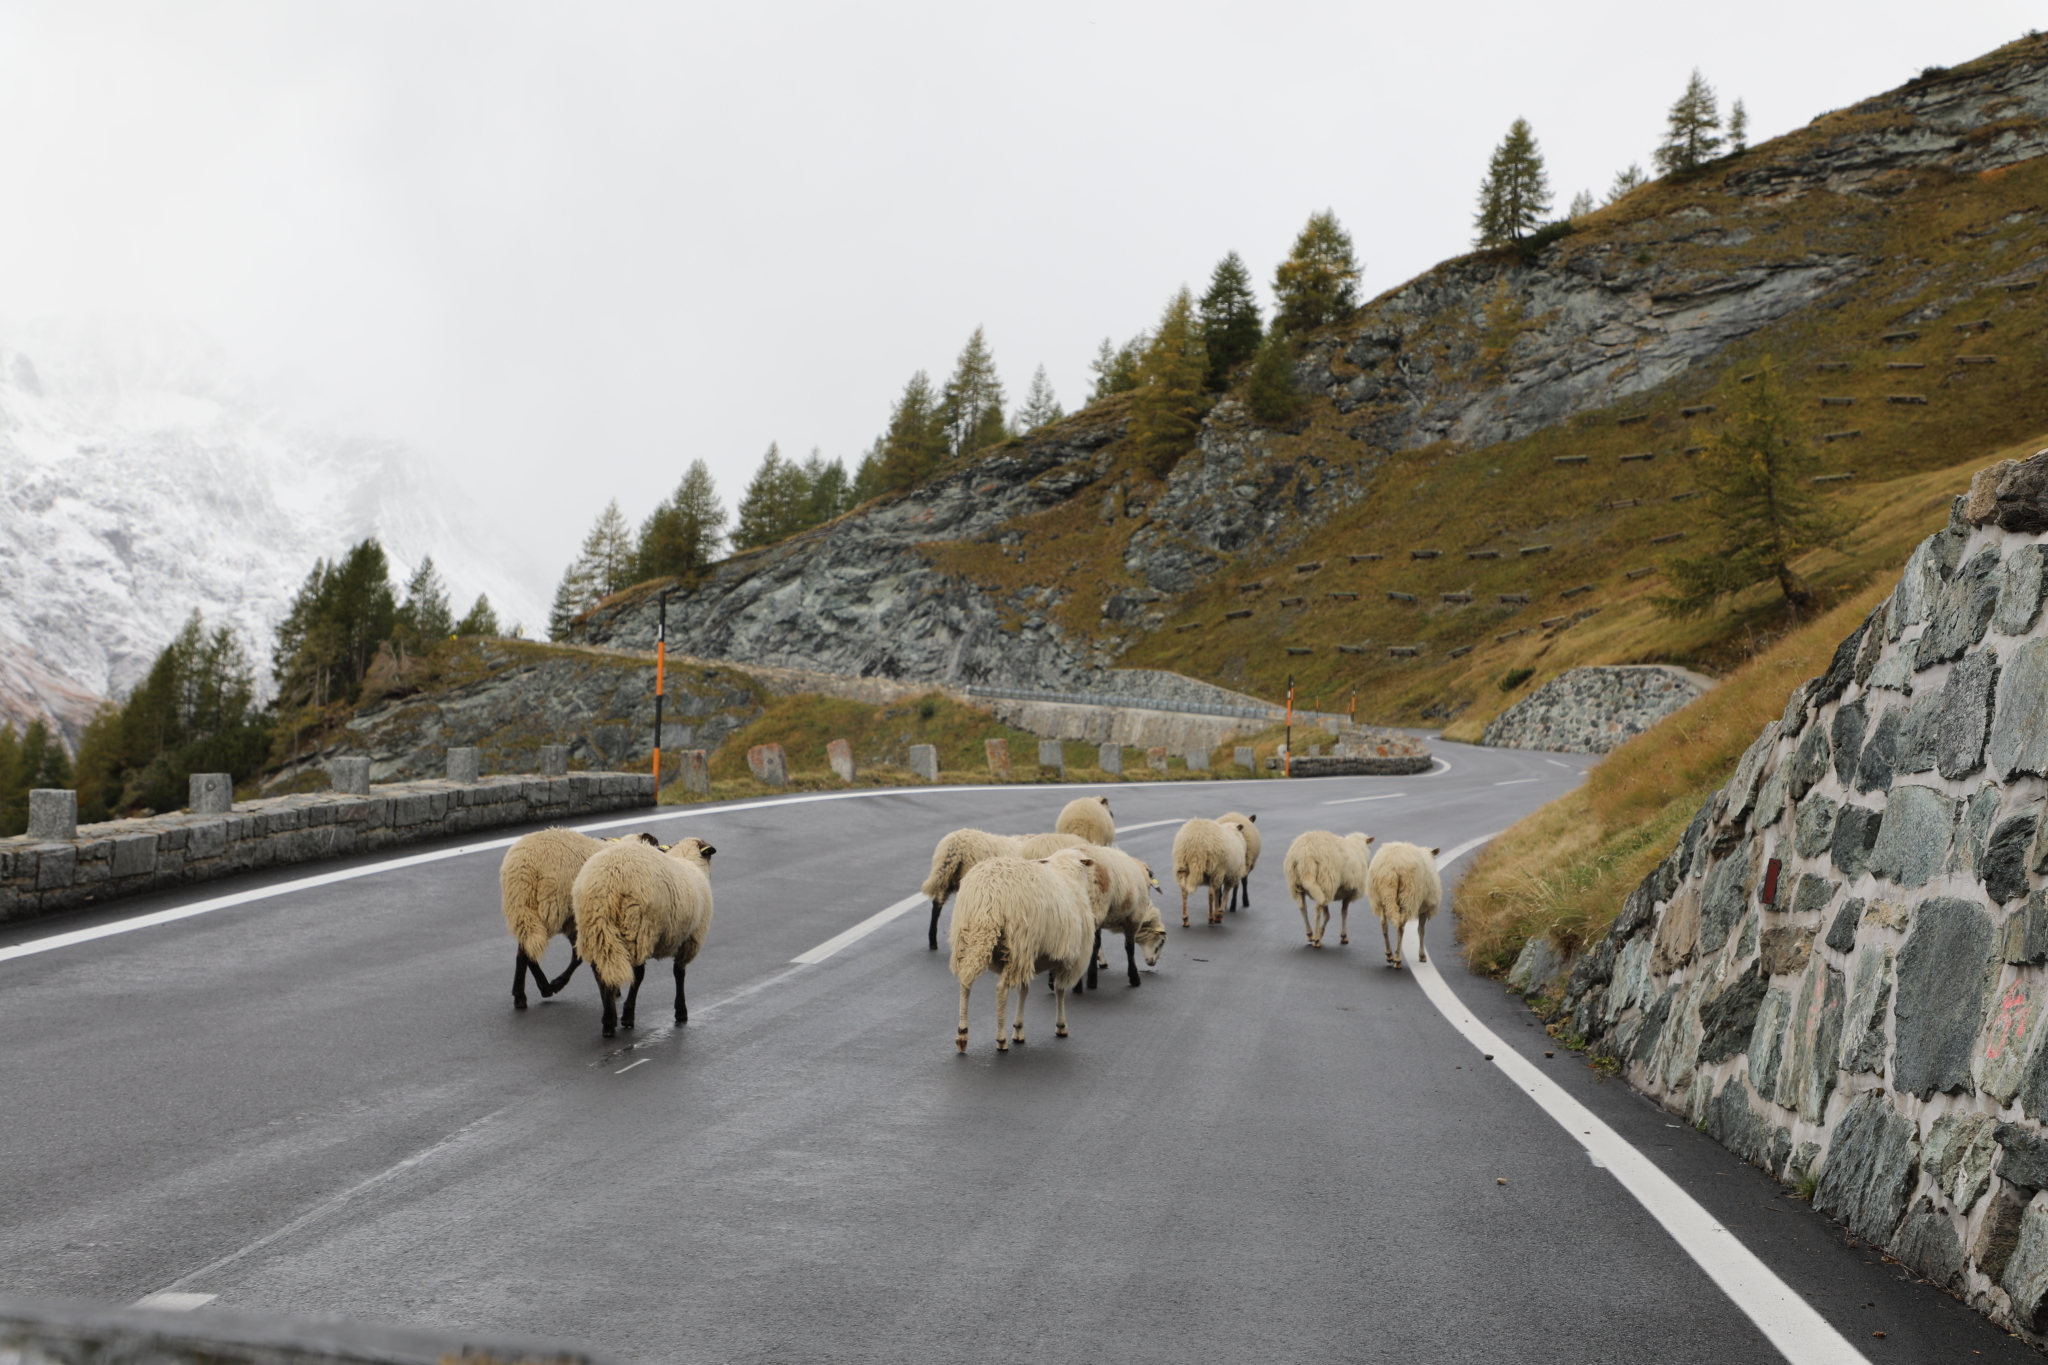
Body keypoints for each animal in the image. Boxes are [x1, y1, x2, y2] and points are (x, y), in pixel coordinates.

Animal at [499, 826, 659, 1010]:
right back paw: (538, 989)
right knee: (528, 947)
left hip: (523, 906)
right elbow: (581, 957)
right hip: (551, 906)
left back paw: (524, 993)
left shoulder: (579, 923)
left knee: (526, 946)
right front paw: (559, 984)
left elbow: (581, 956)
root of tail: (525, 865)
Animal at [573, 834, 716, 1035]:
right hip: (639, 928)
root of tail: (608, 881)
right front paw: (681, 1011)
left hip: (594, 927)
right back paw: (624, 1017)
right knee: (637, 973)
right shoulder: (690, 939)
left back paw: (609, 1017)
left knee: (601, 972)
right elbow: (679, 973)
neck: (689, 861)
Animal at [950, 855, 1114, 1055]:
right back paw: (1001, 1039)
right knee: (1001, 988)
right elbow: (1059, 989)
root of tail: (990, 892)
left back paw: (962, 1034)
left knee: (965, 981)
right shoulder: (1066, 959)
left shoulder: (1031, 958)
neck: (1068, 875)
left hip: (970, 939)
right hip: (1017, 945)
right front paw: (1061, 1025)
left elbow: (1024, 990)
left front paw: (1018, 1029)